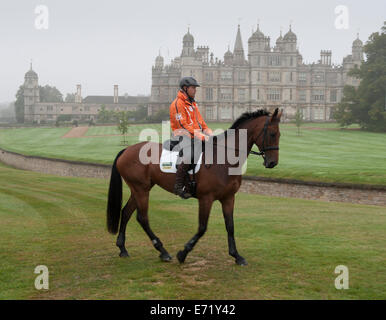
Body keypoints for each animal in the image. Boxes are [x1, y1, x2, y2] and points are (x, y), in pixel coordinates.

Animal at [107, 107, 282, 264]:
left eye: (279, 134)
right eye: (272, 134)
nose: (272, 163)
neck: (224, 158)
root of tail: (126, 150)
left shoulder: (228, 198)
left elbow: (230, 226)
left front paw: (236, 255)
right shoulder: (206, 198)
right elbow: (202, 228)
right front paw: (183, 253)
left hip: (139, 189)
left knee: (126, 213)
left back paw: (123, 248)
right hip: (141, 190)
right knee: (142, 218)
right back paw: (163, 251)